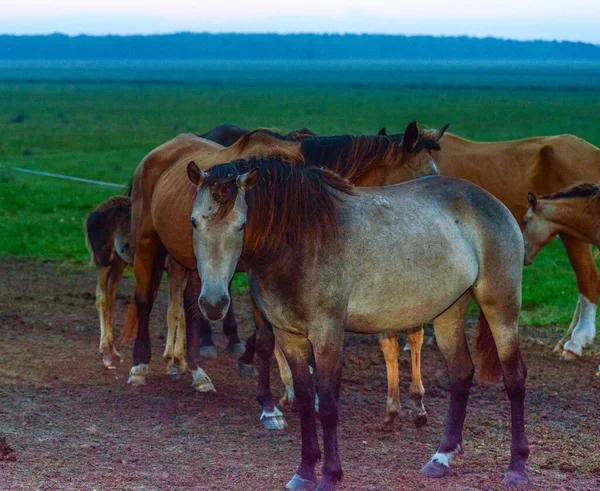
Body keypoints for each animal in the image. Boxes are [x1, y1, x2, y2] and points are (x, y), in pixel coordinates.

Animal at [189, 156, 528, 490]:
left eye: (241, 224)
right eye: (194, 222)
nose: (213, 303)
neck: (300, 241)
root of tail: (492, 201)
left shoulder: (328, 335)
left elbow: (327, 406)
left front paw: (329, 476)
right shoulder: (290, 337)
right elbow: (304, 401)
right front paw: (304, 472)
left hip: (501, 306)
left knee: (514, 378)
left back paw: (517, 467)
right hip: (449, 311)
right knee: (460, 373)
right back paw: (441, 457)